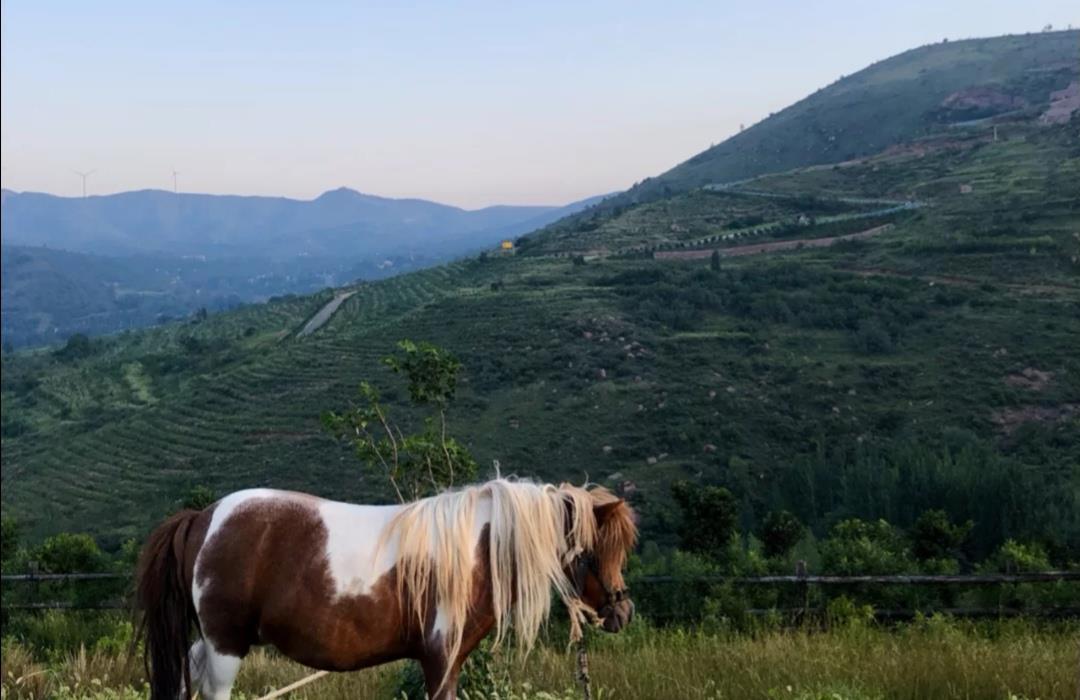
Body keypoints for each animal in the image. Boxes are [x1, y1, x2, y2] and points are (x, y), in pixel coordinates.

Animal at [138, 477, 635, 695]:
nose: (622, 611)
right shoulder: (440, 659)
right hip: (226, 646)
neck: (474, 549)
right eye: (598, 550)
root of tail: (203, 518)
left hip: (213, 644)